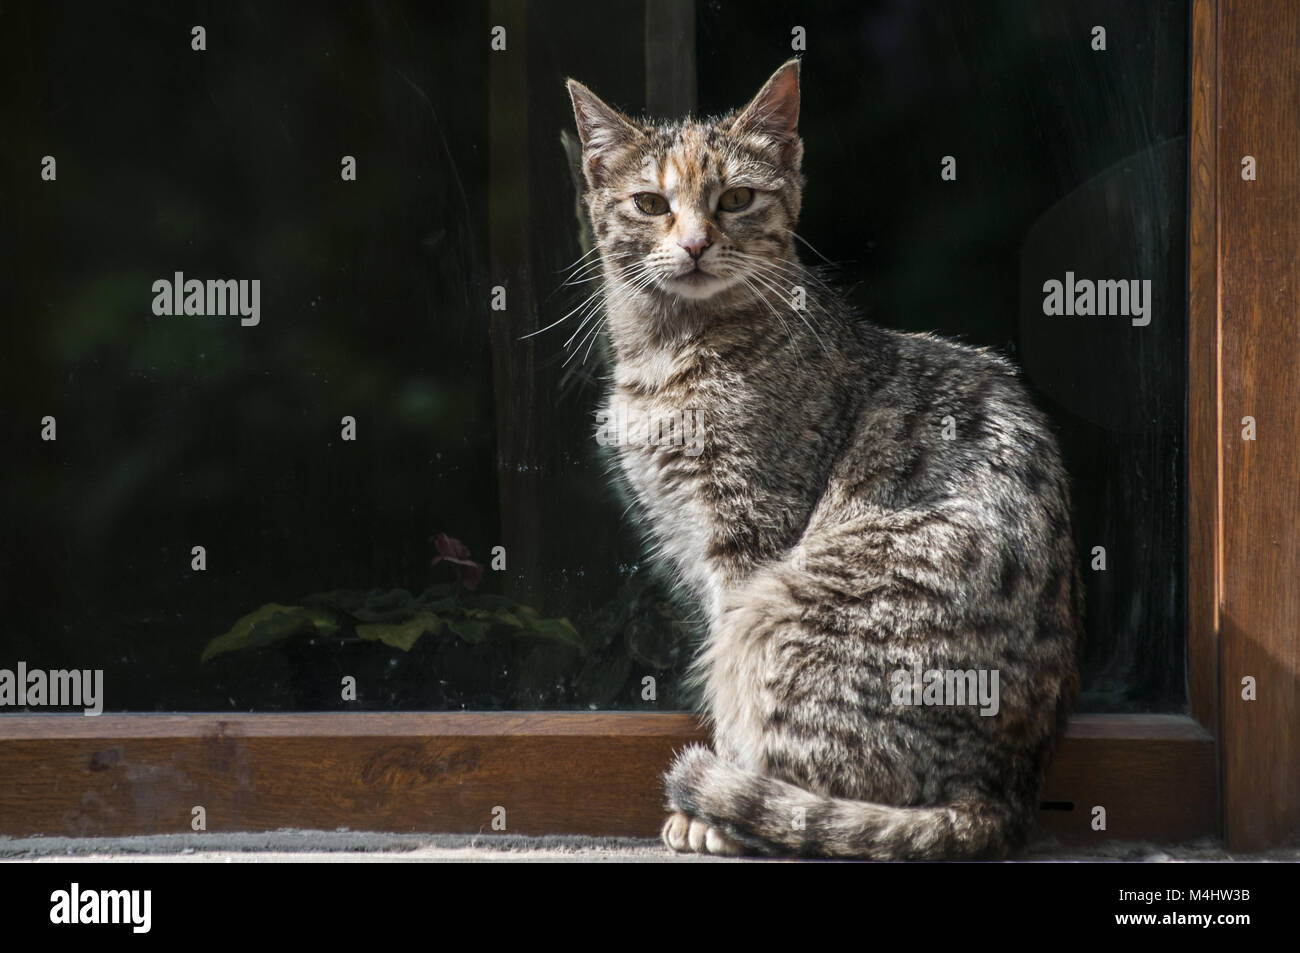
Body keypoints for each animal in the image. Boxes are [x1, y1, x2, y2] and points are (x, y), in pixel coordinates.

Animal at [564, 59, 1081, 858]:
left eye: (736, 199)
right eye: (650, 204)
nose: (695, 244)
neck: (671, 351)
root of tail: (1000, 795)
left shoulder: (746, 540)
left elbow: (727, 683)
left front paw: (711, 806)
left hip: (784, 612)